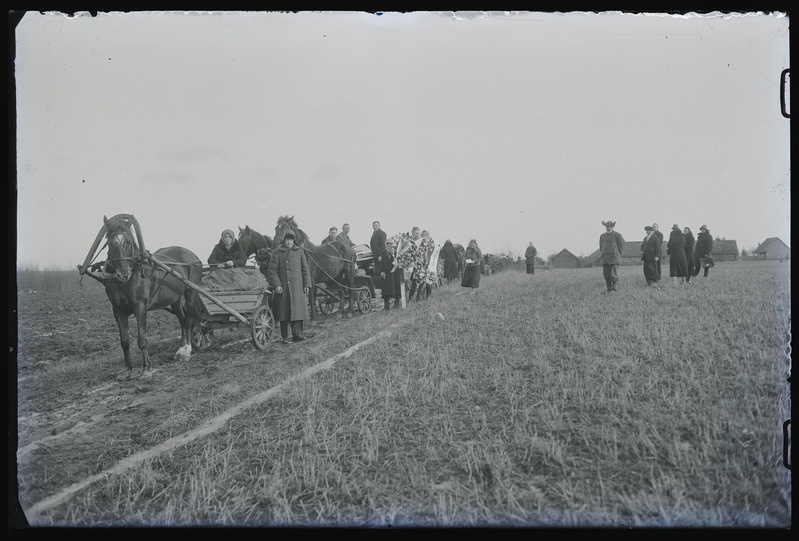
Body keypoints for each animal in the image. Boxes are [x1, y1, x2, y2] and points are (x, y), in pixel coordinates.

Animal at [77, 213, 205, 374]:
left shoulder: (140, 307)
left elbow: (142, 339)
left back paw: (186, 350)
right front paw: (128, 368)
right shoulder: (118, 310)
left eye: (129, 242)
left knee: (189, 320)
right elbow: (124, 341)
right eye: (110, 243)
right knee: (182, 320)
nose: (123, 274)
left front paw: (146, 368)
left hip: (191, 292)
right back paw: (183, 348)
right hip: (174, 299)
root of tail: (193, 255)